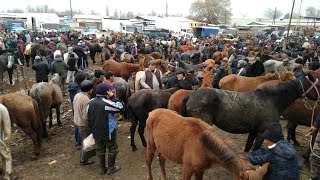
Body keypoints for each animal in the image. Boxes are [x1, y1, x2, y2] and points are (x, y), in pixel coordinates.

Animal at [181, 74, 320, 152]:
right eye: (318, 85)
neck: (272, 100)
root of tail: (190, 96)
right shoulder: (261, 132)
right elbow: (255, 148)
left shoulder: (253, 131)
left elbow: (248, 148)